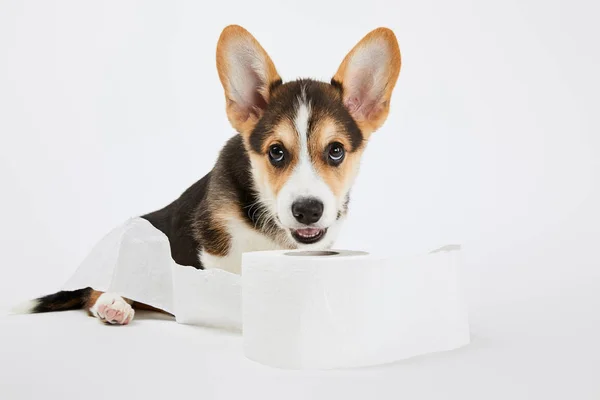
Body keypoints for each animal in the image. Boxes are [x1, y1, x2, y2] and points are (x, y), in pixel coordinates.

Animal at [15, 25, 398, 324]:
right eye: (276, 152)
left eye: (336, 151)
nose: (307, 210)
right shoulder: (217, 245)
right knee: (97, 289)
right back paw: (114, 303)